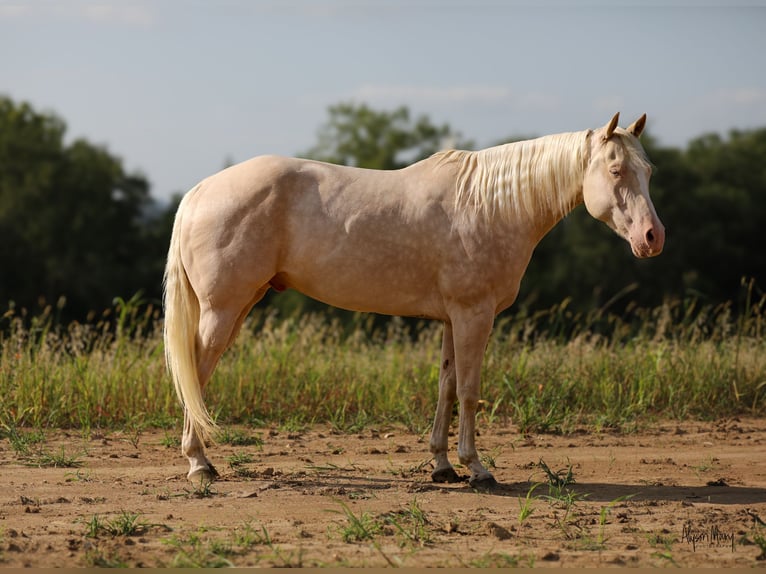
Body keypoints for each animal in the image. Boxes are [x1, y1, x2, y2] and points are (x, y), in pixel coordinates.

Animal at [164, 112, 664, 490]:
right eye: (616, 171)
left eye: (649, 172)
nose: (652, 237)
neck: (491, 204)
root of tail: (198, 192)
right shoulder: (474, 316)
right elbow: (469, 390)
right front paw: (477, 469)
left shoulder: (451, 320)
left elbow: (446, 386)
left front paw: (442, 466)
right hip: (224, 311)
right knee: (196, 372)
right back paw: (199, 464)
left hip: (238, 306)